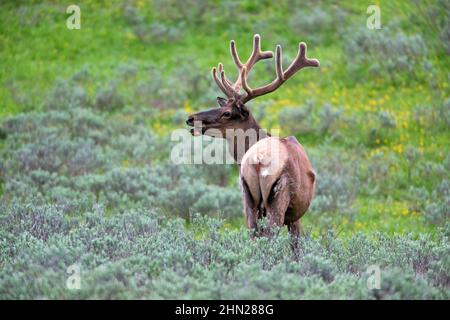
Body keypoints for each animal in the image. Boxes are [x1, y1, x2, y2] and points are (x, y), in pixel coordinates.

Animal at [185, 34, 318, 240]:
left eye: (226, 113)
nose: (191, 118)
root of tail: (257, 161)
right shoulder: (296, 215)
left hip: (247, 195)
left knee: (253, 232)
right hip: (279, 196)